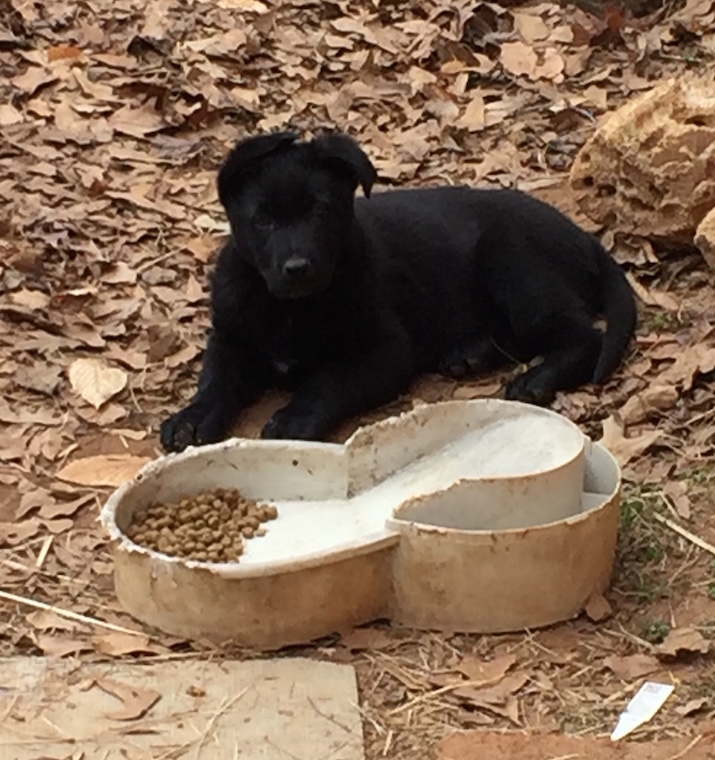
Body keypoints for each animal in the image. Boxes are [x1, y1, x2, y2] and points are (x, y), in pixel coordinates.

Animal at [162, 131, 636, 452]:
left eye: (320, 212)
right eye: (263, 219)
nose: (297, 269)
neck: (291, 309)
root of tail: (583, 237)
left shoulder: (385, 349)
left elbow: (327, 380)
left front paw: (294, 417)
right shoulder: (231, 339)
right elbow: (216, 381)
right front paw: (192, 418)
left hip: (516, 269)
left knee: (583, 336)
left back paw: (536, 379)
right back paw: (472, 353)